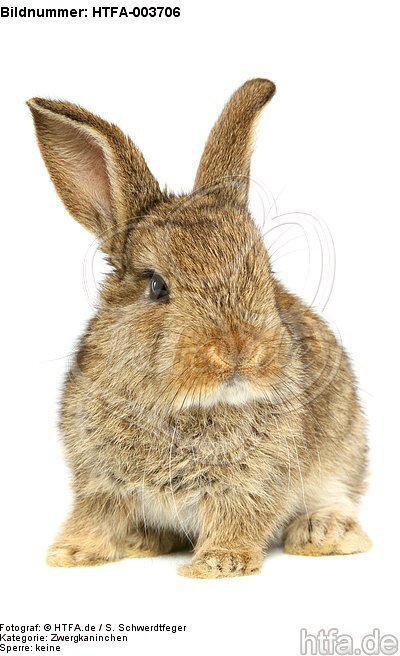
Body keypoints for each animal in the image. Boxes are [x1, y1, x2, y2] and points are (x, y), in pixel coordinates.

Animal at [28, 78, 371, 579]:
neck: (186, 408)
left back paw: (324, 533)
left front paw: (217, 564)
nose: (240, 351)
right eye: (156, 286)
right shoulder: (97, 482)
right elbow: (95, 516)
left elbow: (240, 517)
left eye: (263, 274)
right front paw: (71, 554)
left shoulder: (255, 483)